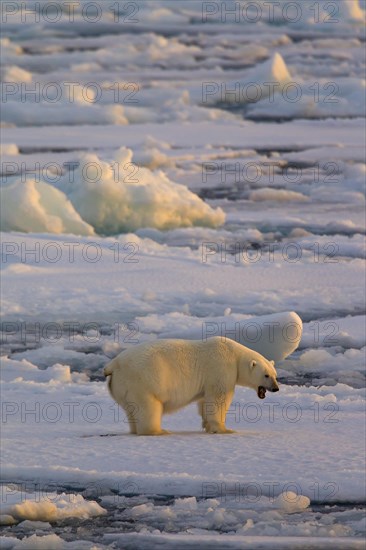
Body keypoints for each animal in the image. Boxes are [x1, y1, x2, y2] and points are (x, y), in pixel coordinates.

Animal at [103, 338, 278, 438]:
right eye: (266, 375)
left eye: (275, 374)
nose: (276, 388)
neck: (235, 355)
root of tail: (114, 364)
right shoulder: (222, 367)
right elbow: (218, 397)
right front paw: (224, 429)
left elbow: (205, 401)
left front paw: (207, 425)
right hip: (143, 382)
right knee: (149, 407)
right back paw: (159, 431)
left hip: (123, 387)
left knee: (131, 409)